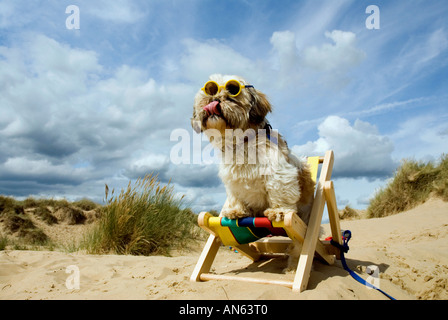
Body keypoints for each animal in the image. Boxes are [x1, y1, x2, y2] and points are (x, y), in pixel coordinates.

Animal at [190, 74, 316, 270]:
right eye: (210, 91)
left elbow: (280, 192)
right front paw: (237, 211)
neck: (243, 142)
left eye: (232, 93)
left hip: (304, 225)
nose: (215, 100)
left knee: (298, 246)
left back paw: (294, 266)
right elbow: (236, 197)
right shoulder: (232, 181)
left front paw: (279, 212)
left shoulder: (279, 172)